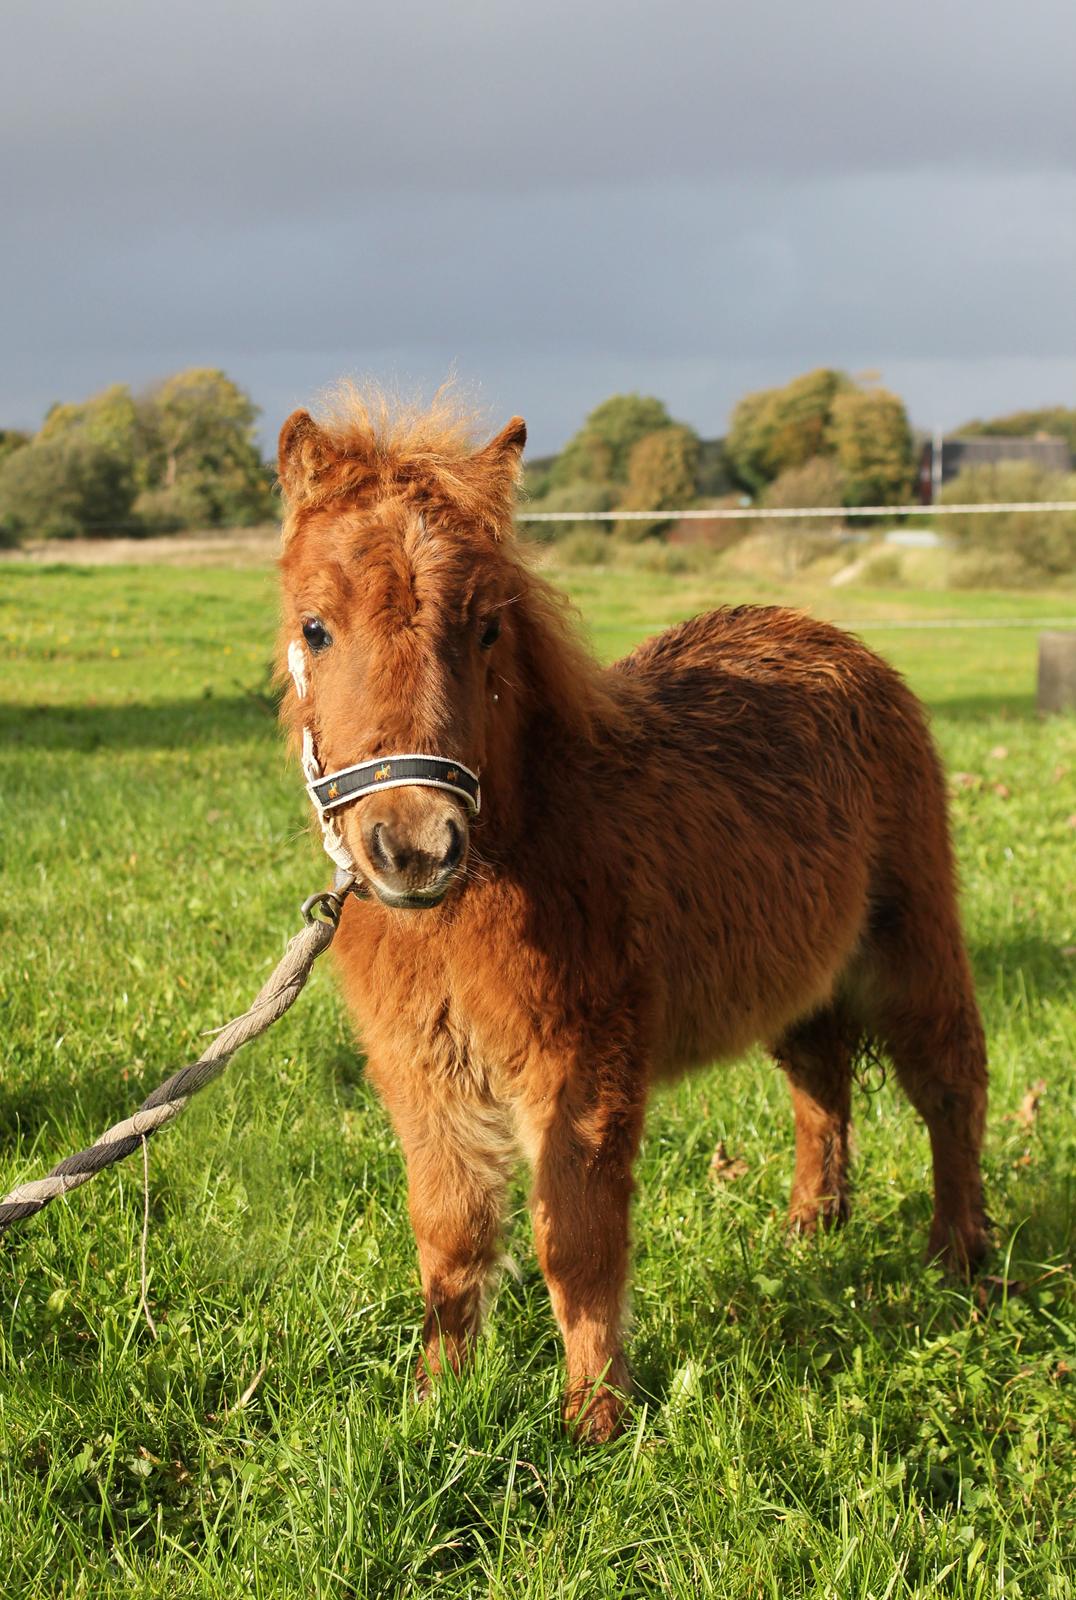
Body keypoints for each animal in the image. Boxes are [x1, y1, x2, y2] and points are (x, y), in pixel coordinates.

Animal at [275, 388, 988, 1442]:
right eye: (316, 628)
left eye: (487, 629)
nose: (413, 845)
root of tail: (832, 639)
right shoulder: (423, 1071)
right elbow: (450, 1235)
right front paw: (434, 1404)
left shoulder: (584, 1062)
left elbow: (576, 1236)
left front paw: (596, 1425)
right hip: (797, 973)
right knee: (822, 1080)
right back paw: (812, 1230)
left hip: (911, 939)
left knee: (949, 1081)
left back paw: (962, 1260)